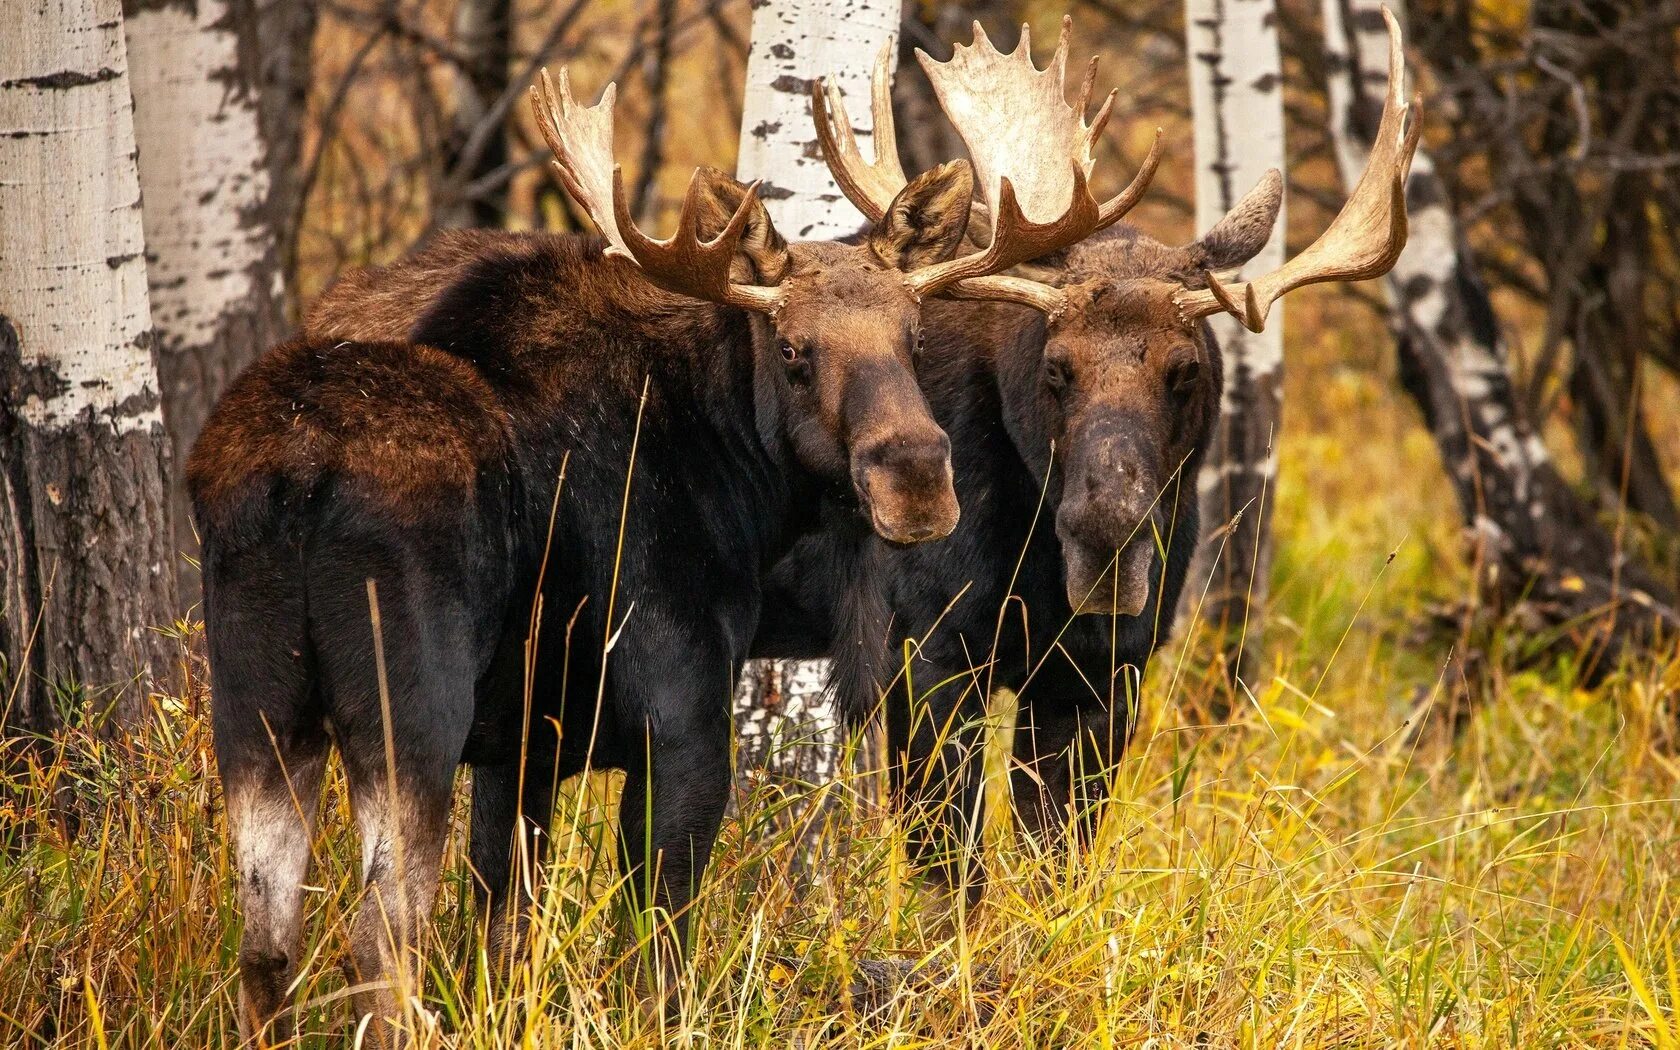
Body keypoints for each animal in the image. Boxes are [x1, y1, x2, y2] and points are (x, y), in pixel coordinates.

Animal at [187, 38, 1155, 1041]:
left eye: (913, 334)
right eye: (794, 350)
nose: (918, 477)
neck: (733, 473)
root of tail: (297, 476)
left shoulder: (523, 747)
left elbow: (507, 930)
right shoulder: (682, 716)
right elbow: (659, 944)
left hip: (258, 707)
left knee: (267, 938)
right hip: (408, 706)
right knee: (381, 935)